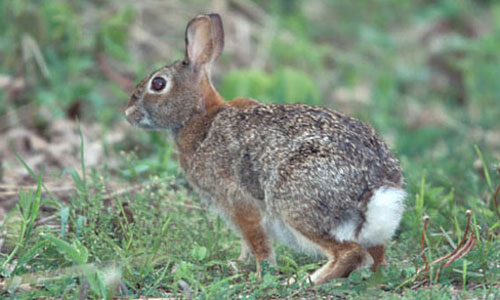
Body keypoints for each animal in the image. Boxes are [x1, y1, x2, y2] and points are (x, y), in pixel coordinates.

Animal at [126, 12, 406, 284]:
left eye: (158, 84)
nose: (128, 113)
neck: (201, 118)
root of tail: (376, 188)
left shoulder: (239, 202)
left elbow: (257, 242)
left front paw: (261, 274)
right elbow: (245, 243)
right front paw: (239, 264)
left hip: (295, 206)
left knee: (350, 253)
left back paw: (303, 281)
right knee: (377, 258)